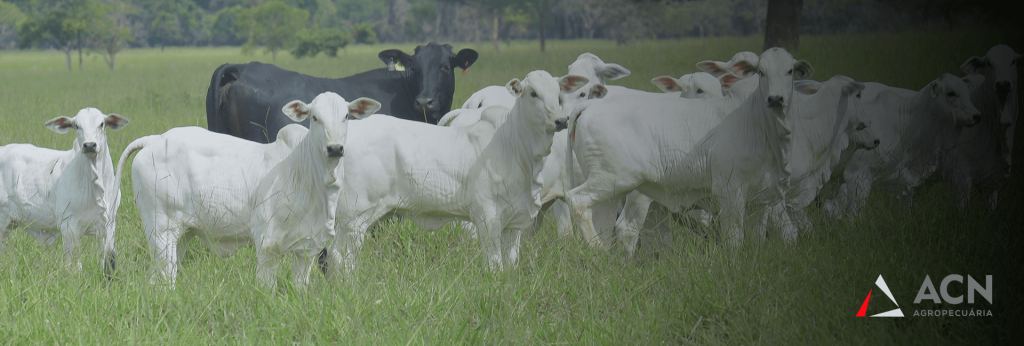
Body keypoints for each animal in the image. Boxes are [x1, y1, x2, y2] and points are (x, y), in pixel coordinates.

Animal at [0, 107, 130, 276]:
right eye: (76, 126)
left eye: (102, 124)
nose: (89, 145)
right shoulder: (69, 227)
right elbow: (73, 265)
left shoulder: (108, 226)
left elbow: (106, 260)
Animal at [119, 92, 376, 286]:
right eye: (314, 117)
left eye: (346, 116)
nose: (335, 148)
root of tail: (154, 140)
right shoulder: (267, 244)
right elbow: (267, 287)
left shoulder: (307, 248)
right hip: (160, 231)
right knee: (165, 276)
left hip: (181, 235)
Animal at [327, 69, 585, 272]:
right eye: (533, 93)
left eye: (558, 95)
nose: (561, 121)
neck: (515, 145)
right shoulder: (487, 217)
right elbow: (494, 265)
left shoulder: (515, 223)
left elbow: (510, 264)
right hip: (355, 217)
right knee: (341, 256)